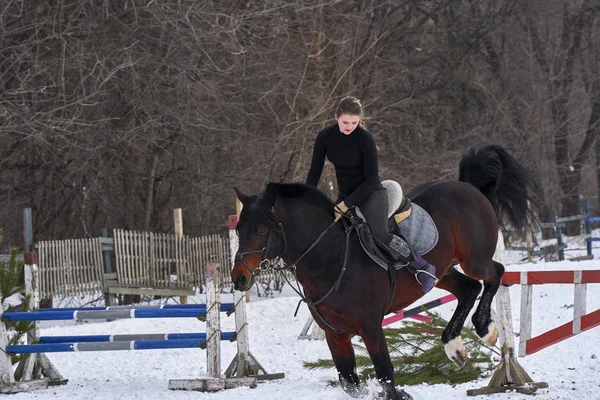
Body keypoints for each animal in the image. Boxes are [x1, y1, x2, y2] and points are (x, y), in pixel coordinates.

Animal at [231, 145, 540, 400]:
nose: (238, 278)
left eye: (261, 229)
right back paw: (455, 347)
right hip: (441, 274)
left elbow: (386, 378)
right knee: (469, 289)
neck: (331, 260)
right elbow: (351, 383)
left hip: (473, 260)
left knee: (495, 274)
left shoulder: (371, 328)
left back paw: (484, 328)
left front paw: (400, 392)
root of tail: (469, 188)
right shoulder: (335, 336)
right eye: (239, 229)